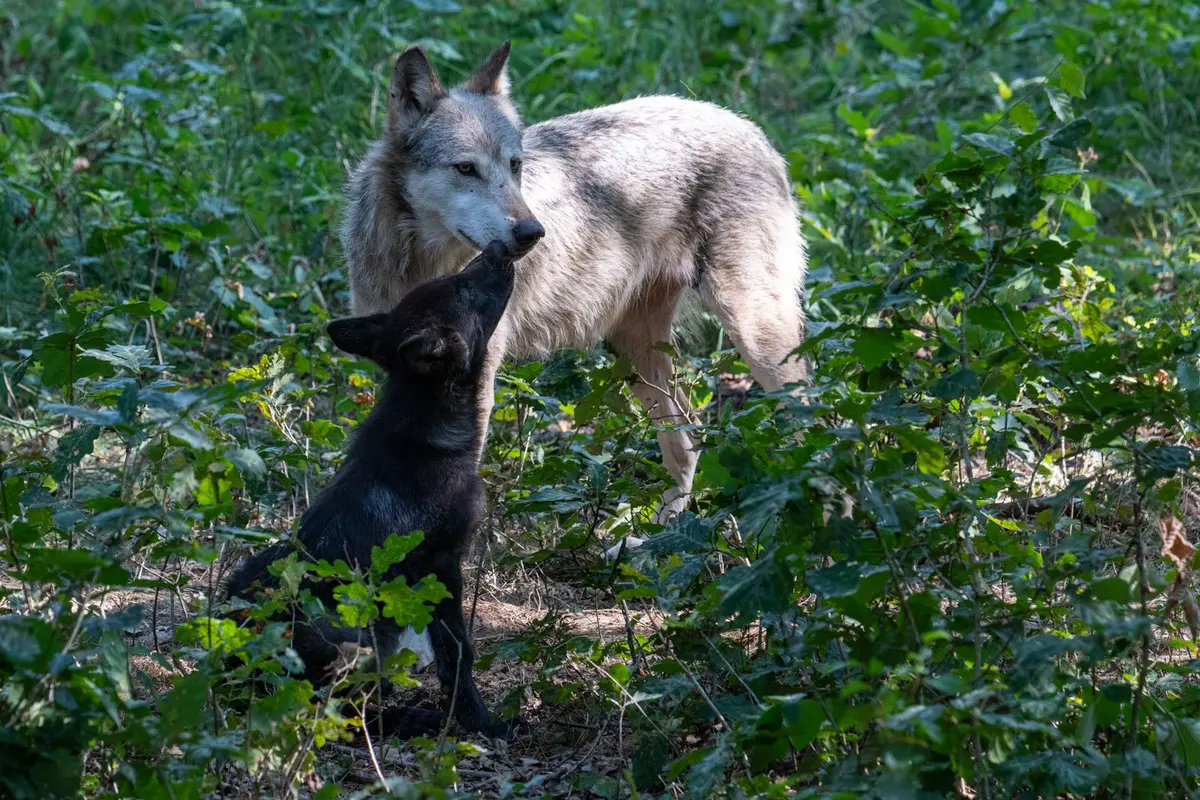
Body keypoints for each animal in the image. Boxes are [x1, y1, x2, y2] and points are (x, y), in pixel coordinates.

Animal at [223, 241, 520, 739]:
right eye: (462, 286)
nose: (500, 247)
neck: (426, 427)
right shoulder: (442, 563)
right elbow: (458, 656)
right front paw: (481, 722)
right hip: (355, 636)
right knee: (336, 713)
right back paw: (409, 719)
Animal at [341, 41, 808, 527]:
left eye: (515, 165)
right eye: (466, 168)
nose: (532, 232)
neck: (423, 262)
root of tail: (747, 125)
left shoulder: (476, 380)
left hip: (757, 342)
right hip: (632, 351)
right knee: (690, 436)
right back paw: (652, 537)